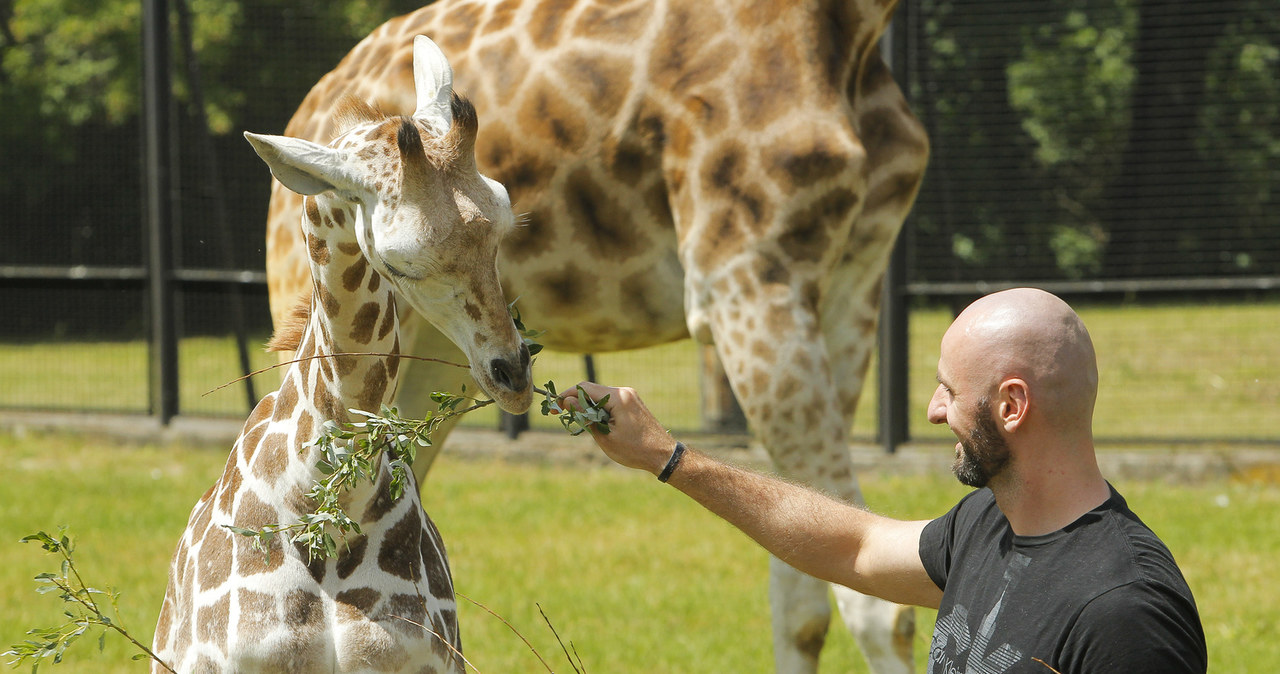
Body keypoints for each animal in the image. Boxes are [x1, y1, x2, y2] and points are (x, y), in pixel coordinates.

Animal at [270, 2, 931, 670]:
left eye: (509, 220)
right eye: (399, 259)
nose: (518, 372)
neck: (844, 35)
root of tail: (312, 107)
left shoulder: (851, 281)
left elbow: (806, 586)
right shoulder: (744, 276)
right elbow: (874, 605)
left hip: (430, 358)